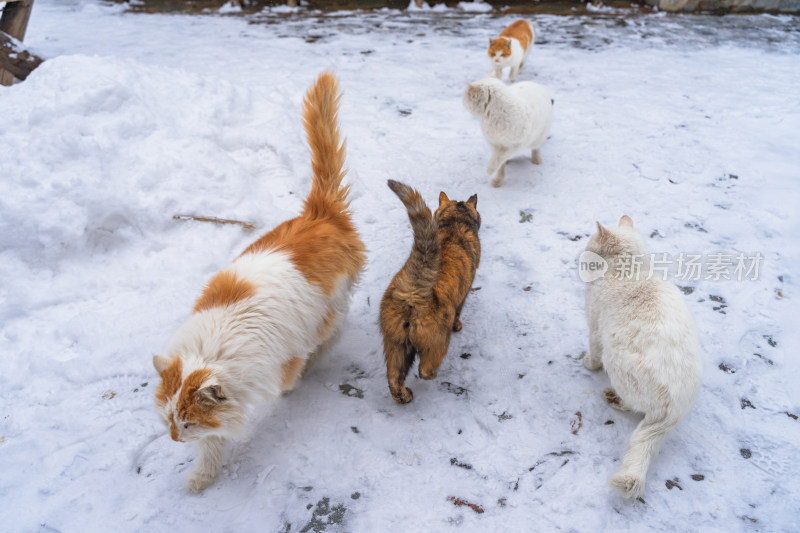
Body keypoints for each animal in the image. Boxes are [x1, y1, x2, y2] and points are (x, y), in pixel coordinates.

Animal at [152, 72, 366, 492]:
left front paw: (296, 382)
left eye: (187, 422)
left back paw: (318, 360)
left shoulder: (283, 356)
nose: (174, 439)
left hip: (333, 304)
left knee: (334, 328)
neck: (213, 352)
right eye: (169, 420)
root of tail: (318, 214)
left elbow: (287, 378)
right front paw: (202, 477)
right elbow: (214, 445)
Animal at [382, 180, 482, 404]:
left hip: (395, 343)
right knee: (424, 369)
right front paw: (458, 325)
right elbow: (460, 312)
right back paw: (432, 375)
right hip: (437, 341)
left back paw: (405, 396)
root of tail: (413, 288)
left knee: (394, 378)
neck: (454, 222)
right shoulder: (464, 294)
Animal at [584, 215, 704, 498]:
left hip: (615, 360)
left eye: (589, 244)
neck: (630, 273)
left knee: (633, 404)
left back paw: (613, 397)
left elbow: (593, 355)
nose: (580, 255)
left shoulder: (594, 328)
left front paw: (587, 365)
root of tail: (674, 411)